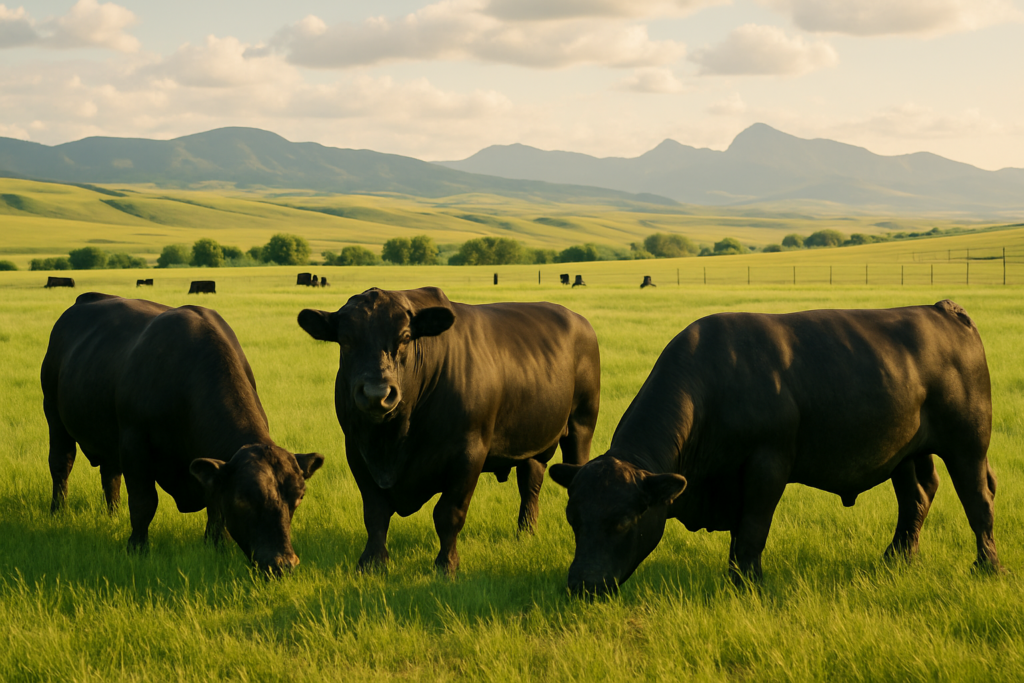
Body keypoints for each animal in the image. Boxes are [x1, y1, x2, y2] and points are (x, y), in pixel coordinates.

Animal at [41, 292, 325, 575]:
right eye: (243, 499)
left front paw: (216, 545)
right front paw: (137, 547)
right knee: (61, 464)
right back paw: (58, 511)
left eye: (298, 498)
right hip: (54, 415)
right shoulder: (134, 443)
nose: (282, 563)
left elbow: (215, 508)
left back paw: (113, 514)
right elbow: (144, 502)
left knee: (110, 474)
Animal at [298, 286, 600, 575]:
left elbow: (448, 513)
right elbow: (375, 513)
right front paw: (372, 562)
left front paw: (447, 564)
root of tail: (579, 321)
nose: (376, 394)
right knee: (530, 484)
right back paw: (525, 535)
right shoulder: (357, 452)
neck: (393, 438)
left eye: (405, 338)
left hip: (581, 425)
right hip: (532, 443)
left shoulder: (468, 454)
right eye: (346, 340)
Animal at [551, 300, 1000, 595]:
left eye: (623, 521)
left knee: (978, 501)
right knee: (916, 497)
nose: (581, 586)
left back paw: (987, 566)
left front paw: (744, 584)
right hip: (904, 453)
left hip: (969, 443)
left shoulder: (767, 465)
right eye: (573, 518)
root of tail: (942, 309)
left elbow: (752, 529)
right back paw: (897, 559)